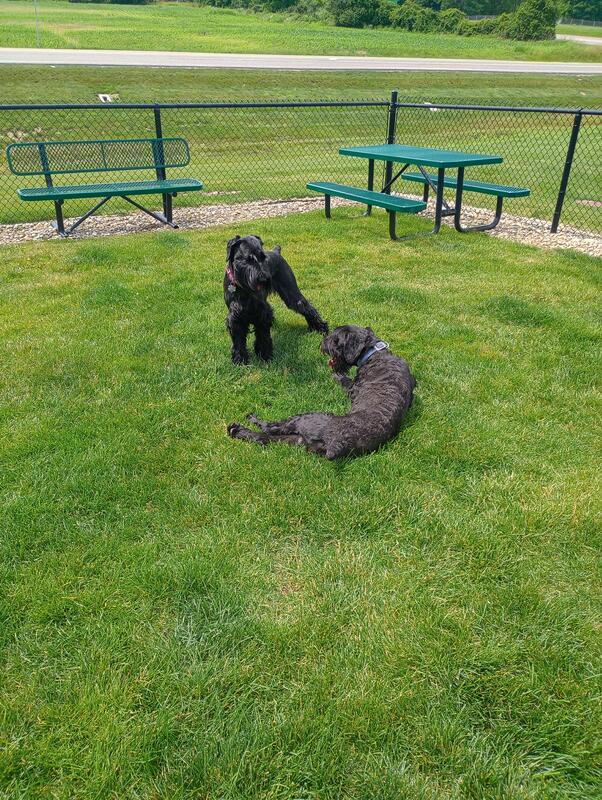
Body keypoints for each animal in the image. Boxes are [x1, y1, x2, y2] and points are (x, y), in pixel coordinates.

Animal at [224, 234, 328, 365]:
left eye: (263, 257)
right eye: (248, 259)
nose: (264, 278)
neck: (242, 286)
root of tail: (276, 251)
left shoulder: (262, 313)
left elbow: (263, 335)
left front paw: (265, 355)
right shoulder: (235, 316)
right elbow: (238, 340)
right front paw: (240, 360)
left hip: (291, 294)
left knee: (308, 307)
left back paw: (321, 329)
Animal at [228, 325, 416, 459]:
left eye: (335, 339)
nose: (321, 344)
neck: (375, 353)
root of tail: (336, 443)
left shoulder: (352, 388)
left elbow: (342, 378)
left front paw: (335, 374)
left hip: (305, 419)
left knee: (270, 429)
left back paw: (248, 420)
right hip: (298, 440)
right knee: (262, 438)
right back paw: (237, 431)